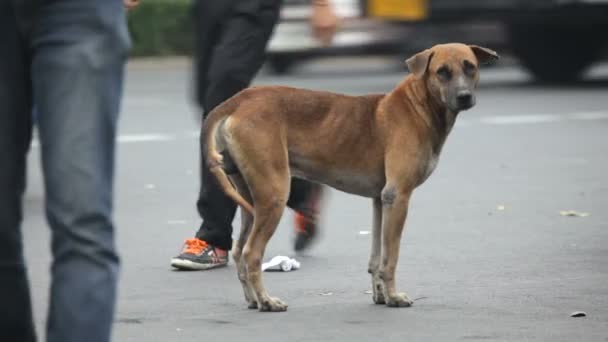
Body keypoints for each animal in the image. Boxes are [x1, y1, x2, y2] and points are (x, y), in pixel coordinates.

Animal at [202, 43, 496, 312]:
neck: (419, 105)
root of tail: (240, 99)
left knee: (239, 251)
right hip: (273, 194)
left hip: (251, 201)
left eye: (470, 67)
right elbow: (391, 257)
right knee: (252, 253)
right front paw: (394, 297)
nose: (464, 96)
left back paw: (252, 299)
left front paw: (380, 295)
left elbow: (376, 257)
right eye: (442, 72)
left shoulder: (380, 200)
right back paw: (266, 300)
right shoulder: (398, 197)